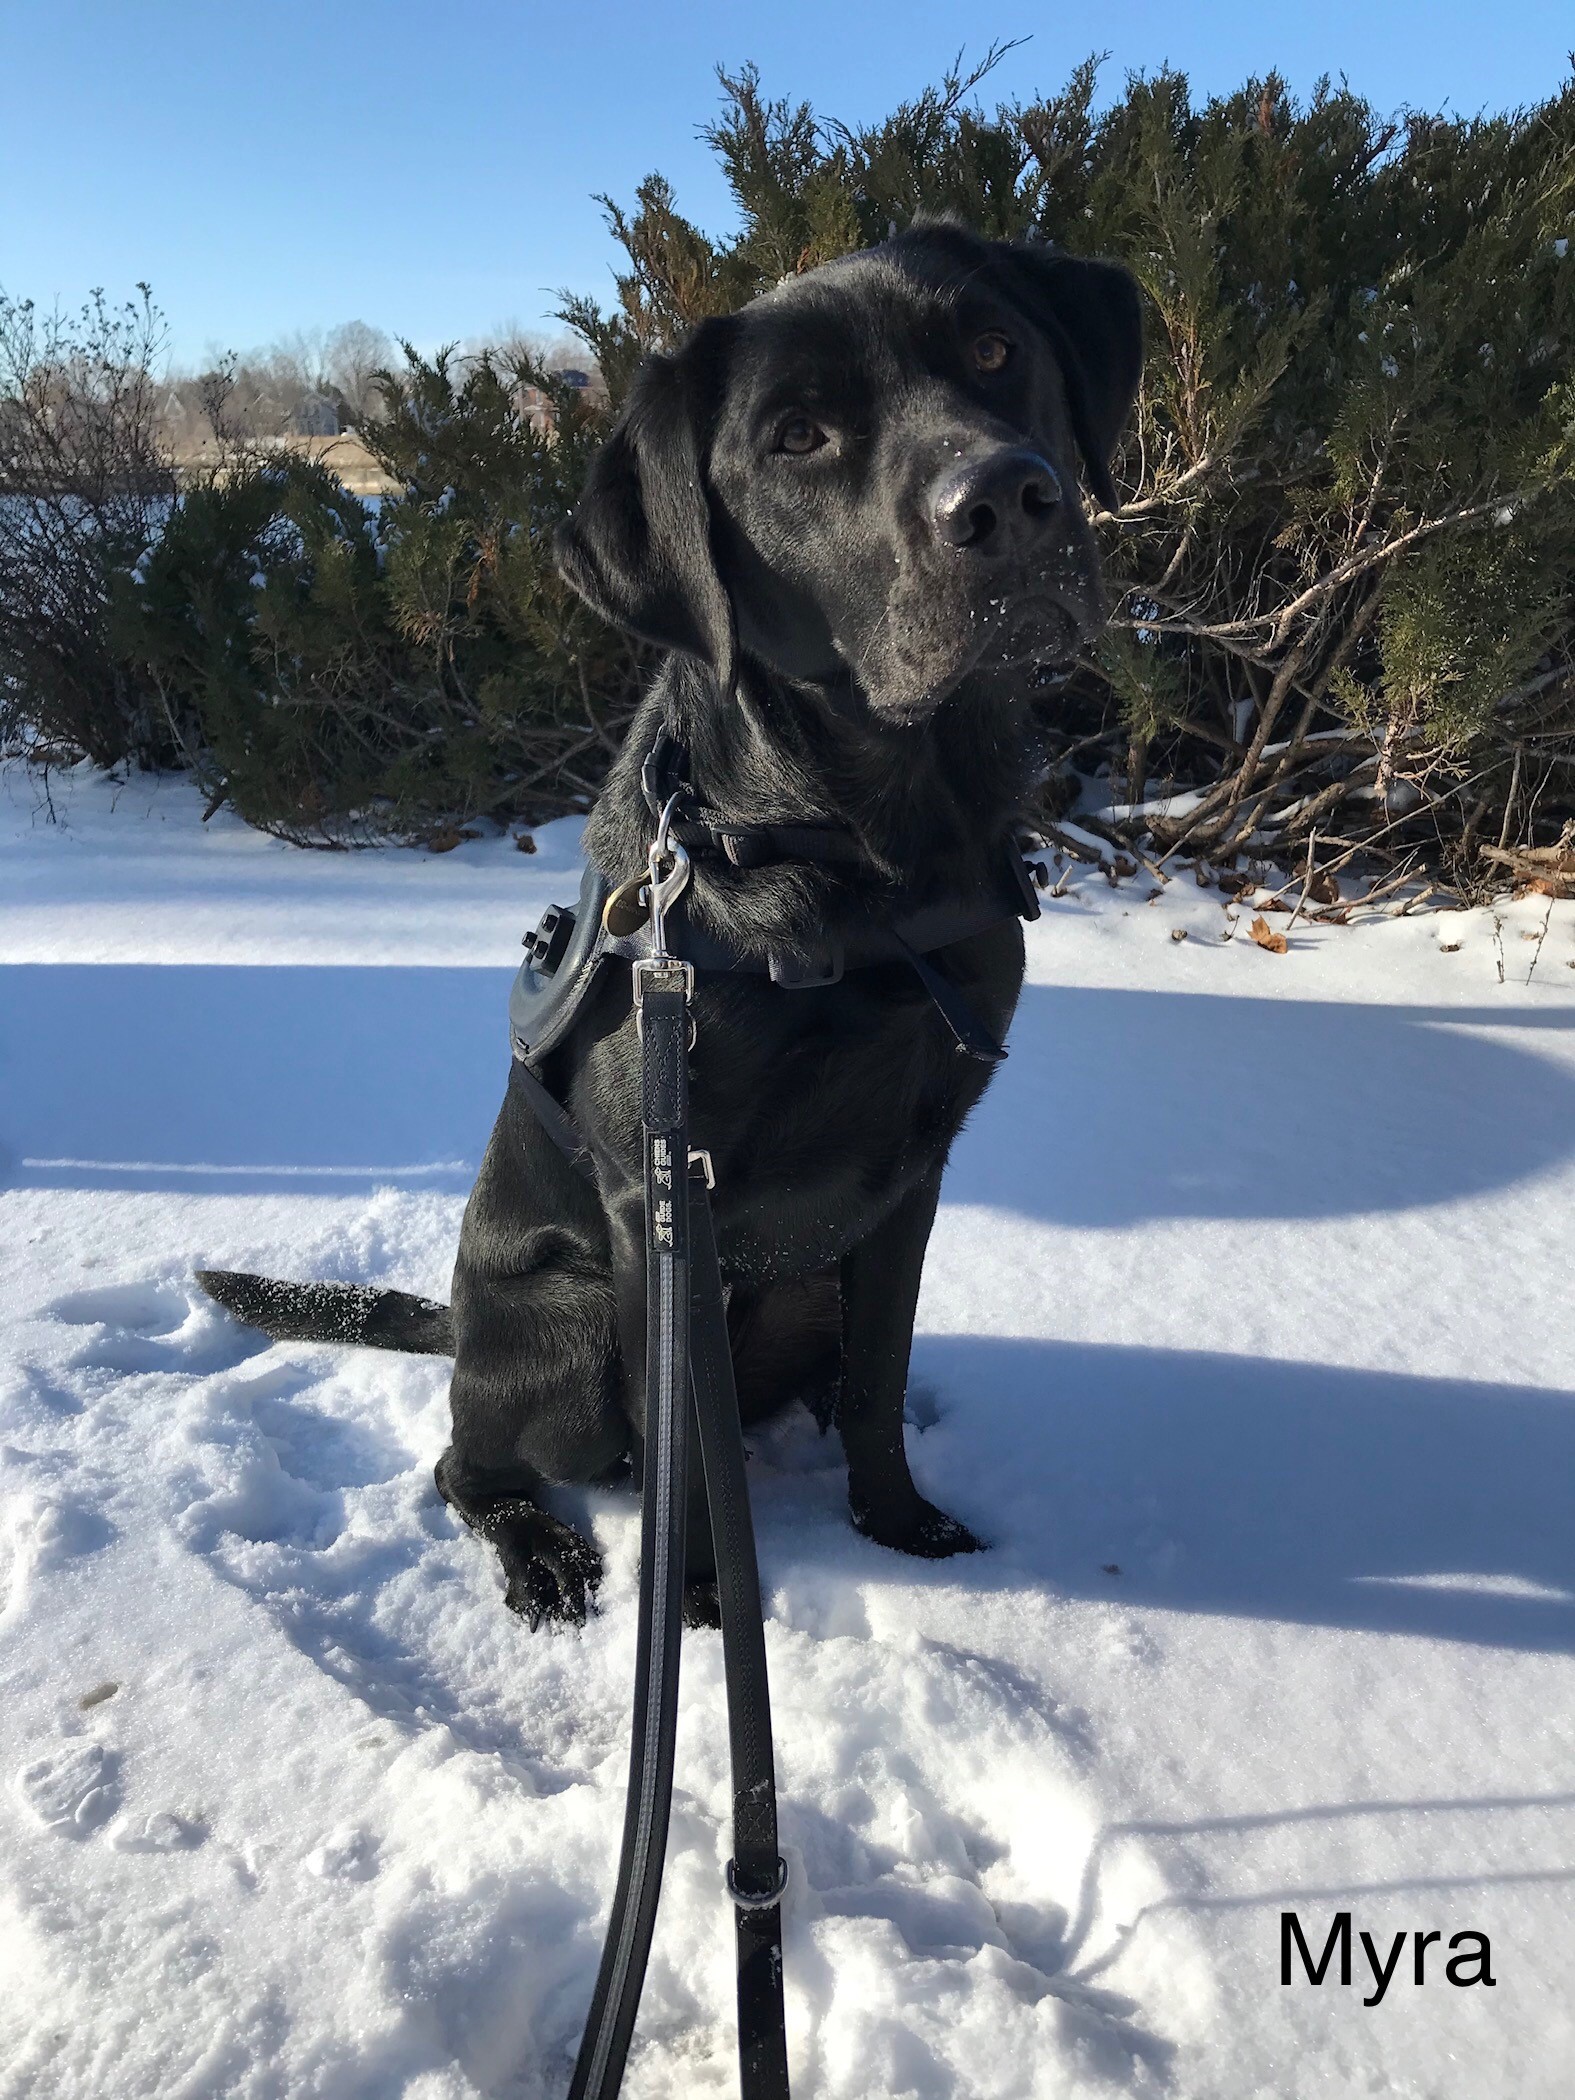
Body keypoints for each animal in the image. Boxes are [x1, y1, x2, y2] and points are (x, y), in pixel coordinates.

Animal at [200, 225, 1150, 1621]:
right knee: (466, 1463)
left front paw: (899, 1526)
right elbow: (677, 1445)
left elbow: (878, 1384)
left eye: (994, 348)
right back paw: (541, 1551)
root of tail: (455, 1321)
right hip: (572, 1321)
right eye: (797, 436)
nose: (1005, 500)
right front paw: (700, 1606)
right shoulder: (660, 1213)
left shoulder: (911, 1175)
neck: (859, 858)